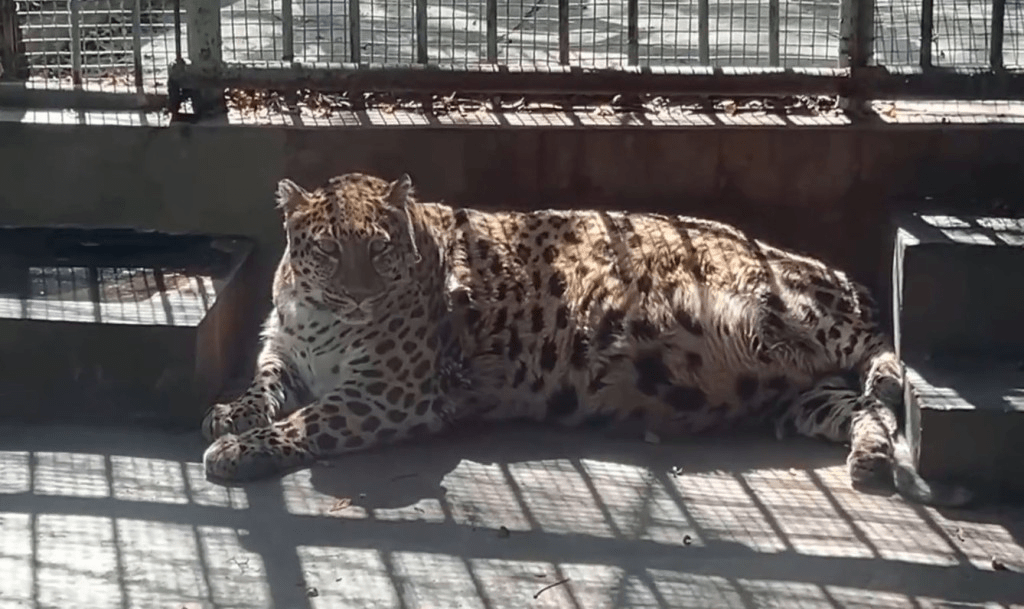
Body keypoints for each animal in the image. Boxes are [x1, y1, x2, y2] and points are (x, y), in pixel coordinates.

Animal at [201, 168, 974, 507]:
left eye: (381, 249)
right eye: (329, 249)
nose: (359, 292)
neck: (319, 315)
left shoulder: (396, 394)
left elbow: (309, 421)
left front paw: (238, 451)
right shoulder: (284, 351)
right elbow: (267, 386)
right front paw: (229, 414)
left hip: (796, 307)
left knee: (876, 343)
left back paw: (888, 379)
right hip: (793, 394)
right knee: (856, 408)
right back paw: (870, 457)